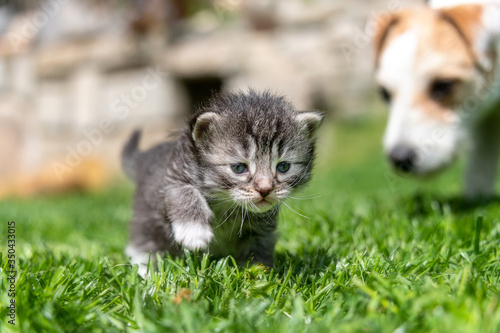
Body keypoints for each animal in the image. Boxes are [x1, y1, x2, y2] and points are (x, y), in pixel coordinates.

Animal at [123, 89, 322, 276]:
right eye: (239, 168)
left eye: (283, 167)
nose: (265, 189)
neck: (226, 202)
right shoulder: (172, 177)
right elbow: (184, 193)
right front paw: (194, 232)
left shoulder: (261, 229)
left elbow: (259, 249)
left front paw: (258, 273)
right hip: (148, 217)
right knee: (142, 242)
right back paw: (145, 273)